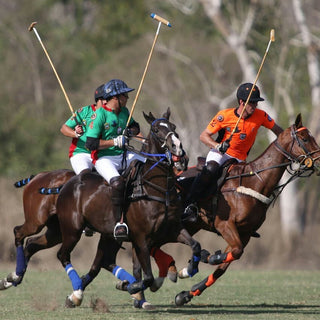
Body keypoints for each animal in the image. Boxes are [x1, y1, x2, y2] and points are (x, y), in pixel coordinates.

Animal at [54, 108, 200, 308]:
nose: (179, 150)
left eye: (173, 126)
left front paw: (188, 269)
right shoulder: (141, 238)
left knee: (99, 264)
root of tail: (68, 184)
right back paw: (77, 293)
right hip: (72, 229)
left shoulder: (172, 229)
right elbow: (146, 276)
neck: (158, 188)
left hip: (108, 235)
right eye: (156, 130)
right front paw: (133, 287)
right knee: (63, 255)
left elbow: (195, 245)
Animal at [174, 114, 320, 306]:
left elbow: (228, 261)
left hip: (191, 225)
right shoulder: (225, 225)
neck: (255, 182)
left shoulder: (245, 233)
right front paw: (210, 257)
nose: (319, 160)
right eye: (304, 139)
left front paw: (186, 293)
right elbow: (233, 253)